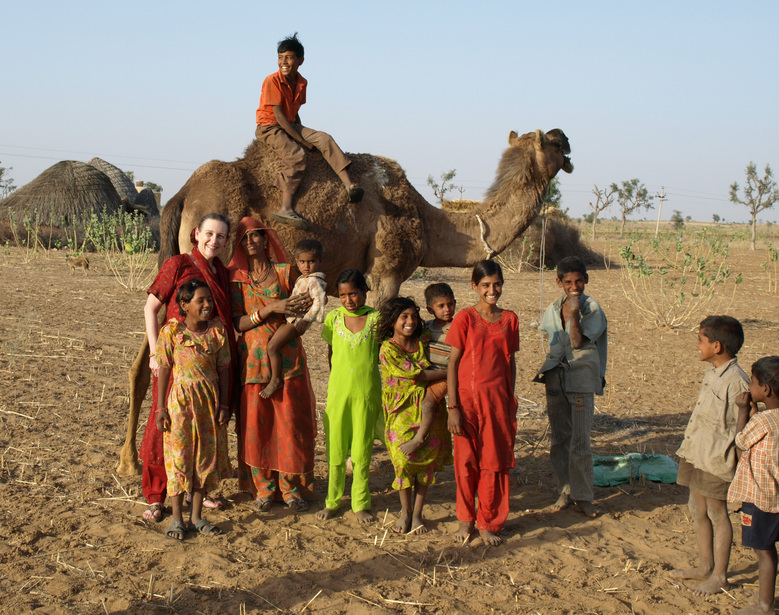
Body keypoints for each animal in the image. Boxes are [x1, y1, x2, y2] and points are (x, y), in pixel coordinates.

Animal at [116, 129, 568, 476]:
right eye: (556, 142)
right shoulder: (387, 270)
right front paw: (364, 451)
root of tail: (183, 194)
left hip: (179, 270)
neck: (429, 222)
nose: (570, 150)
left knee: (148, 357)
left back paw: (130, 463)